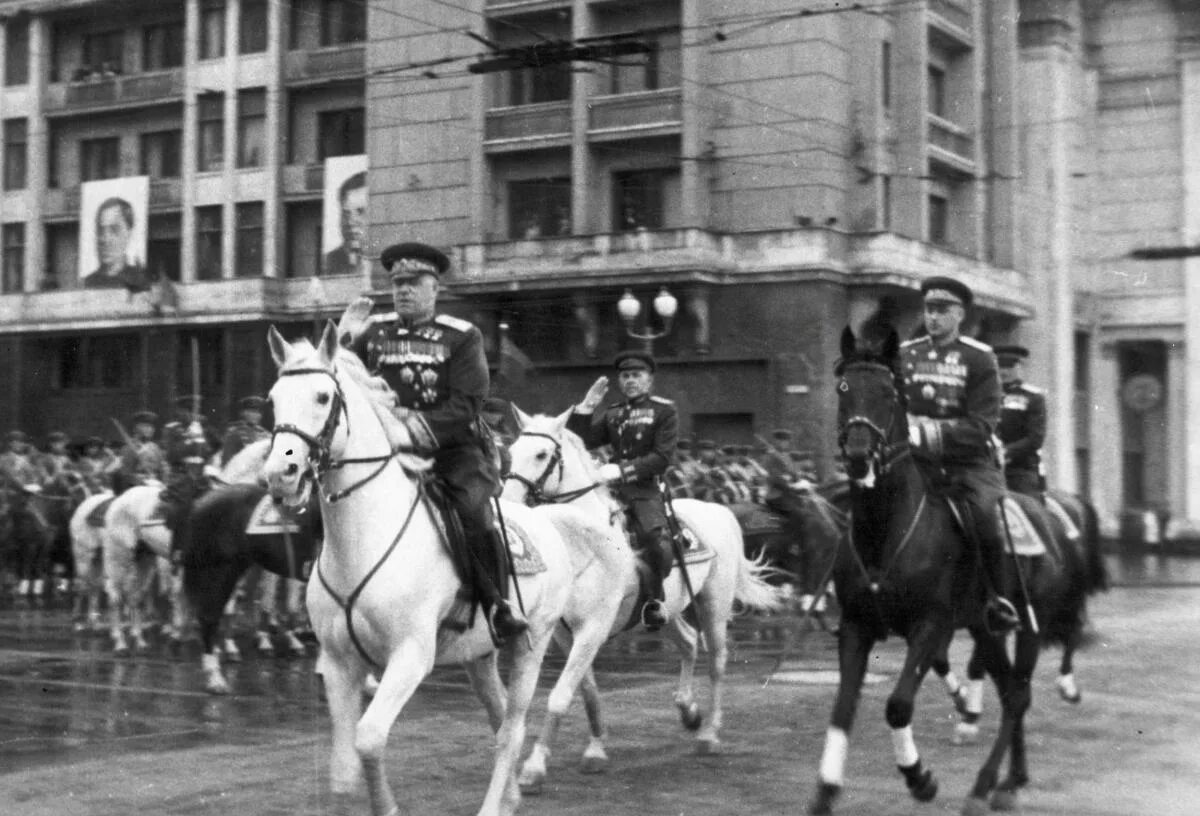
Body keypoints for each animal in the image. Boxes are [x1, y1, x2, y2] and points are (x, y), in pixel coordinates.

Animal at [261, 324, 576, 816]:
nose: (281, 473)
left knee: (512, 727)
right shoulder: (338, 663)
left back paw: (495, 805)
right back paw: (510, 796)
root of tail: (545, 522)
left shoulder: (410, 655)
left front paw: (388, 808)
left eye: (322, 396)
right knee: (499, 714)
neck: (362, 539)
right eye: (273, 399)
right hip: (479, 655)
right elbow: (342, 772)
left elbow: (369, 738)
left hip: (534, 642)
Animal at [499, 410, 787, 792]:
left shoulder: (593, 628)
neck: (584, 540)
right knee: (688, 642)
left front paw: (534, 765)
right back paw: (688, 711)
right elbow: (586, 690)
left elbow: (560, 695)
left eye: (542, 454)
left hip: (714, 603)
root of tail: (719, 509)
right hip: (667, 611)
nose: (506, 500)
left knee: (716, 661)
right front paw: (596, 747)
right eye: (511, 450)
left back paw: (709, 734)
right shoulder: (563, 633)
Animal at [811, 328, 1099, 816]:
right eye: (843, 388)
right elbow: (842, 708)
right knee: (1009, 692)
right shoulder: (855, 626)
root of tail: (1047, 516)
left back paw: (985, 785)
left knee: (1019, 694)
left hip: (1028, 625)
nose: (858, 456)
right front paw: (825, 792)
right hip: (985, 629)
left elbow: (898, 705)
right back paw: (1011, 779)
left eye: (888, 392)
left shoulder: (932, 625)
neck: (885, 530)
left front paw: (920, 778)